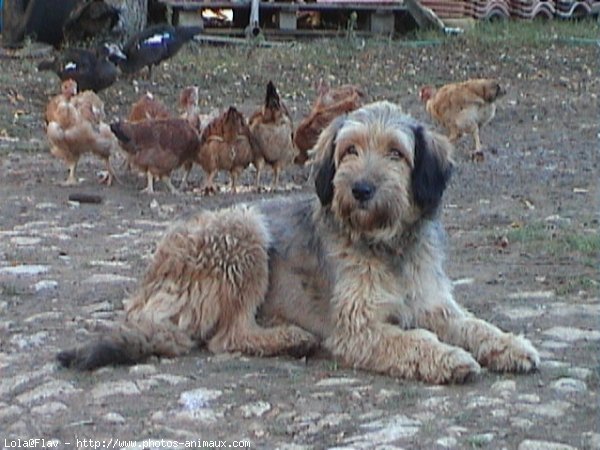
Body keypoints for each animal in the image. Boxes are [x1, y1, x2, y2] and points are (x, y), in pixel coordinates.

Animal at [58, 101, 540, 384]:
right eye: (349, 150)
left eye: (396, 153)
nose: (361, 190)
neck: (387, 245)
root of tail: (145, 289)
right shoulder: (356, 326)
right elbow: (411, 340)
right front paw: (448, 358)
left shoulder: (434, 304)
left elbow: (474, 325)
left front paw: (510, 345)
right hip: (243, 233)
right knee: (227, 336)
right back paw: (289, 338)